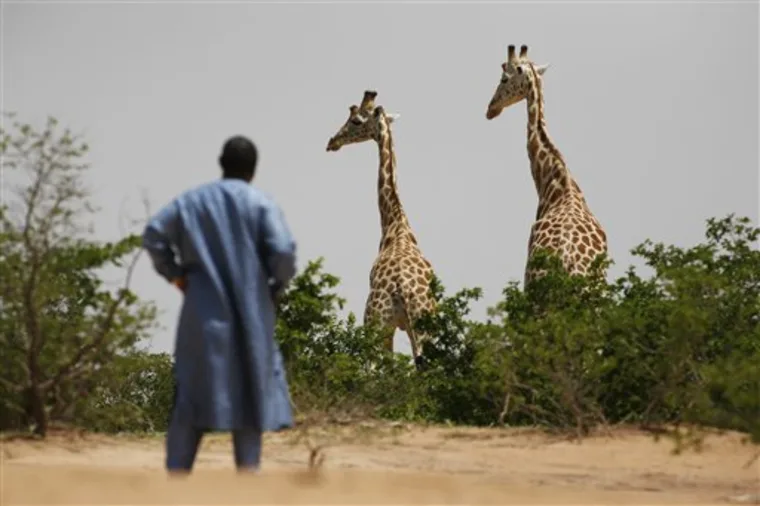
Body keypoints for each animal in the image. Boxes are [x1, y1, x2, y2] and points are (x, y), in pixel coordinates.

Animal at [326, 90, 436, 369]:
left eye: (355, 120)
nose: (332, 141)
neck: (395, 222)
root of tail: (402, 288)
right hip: (419, 325)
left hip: (377, 322)